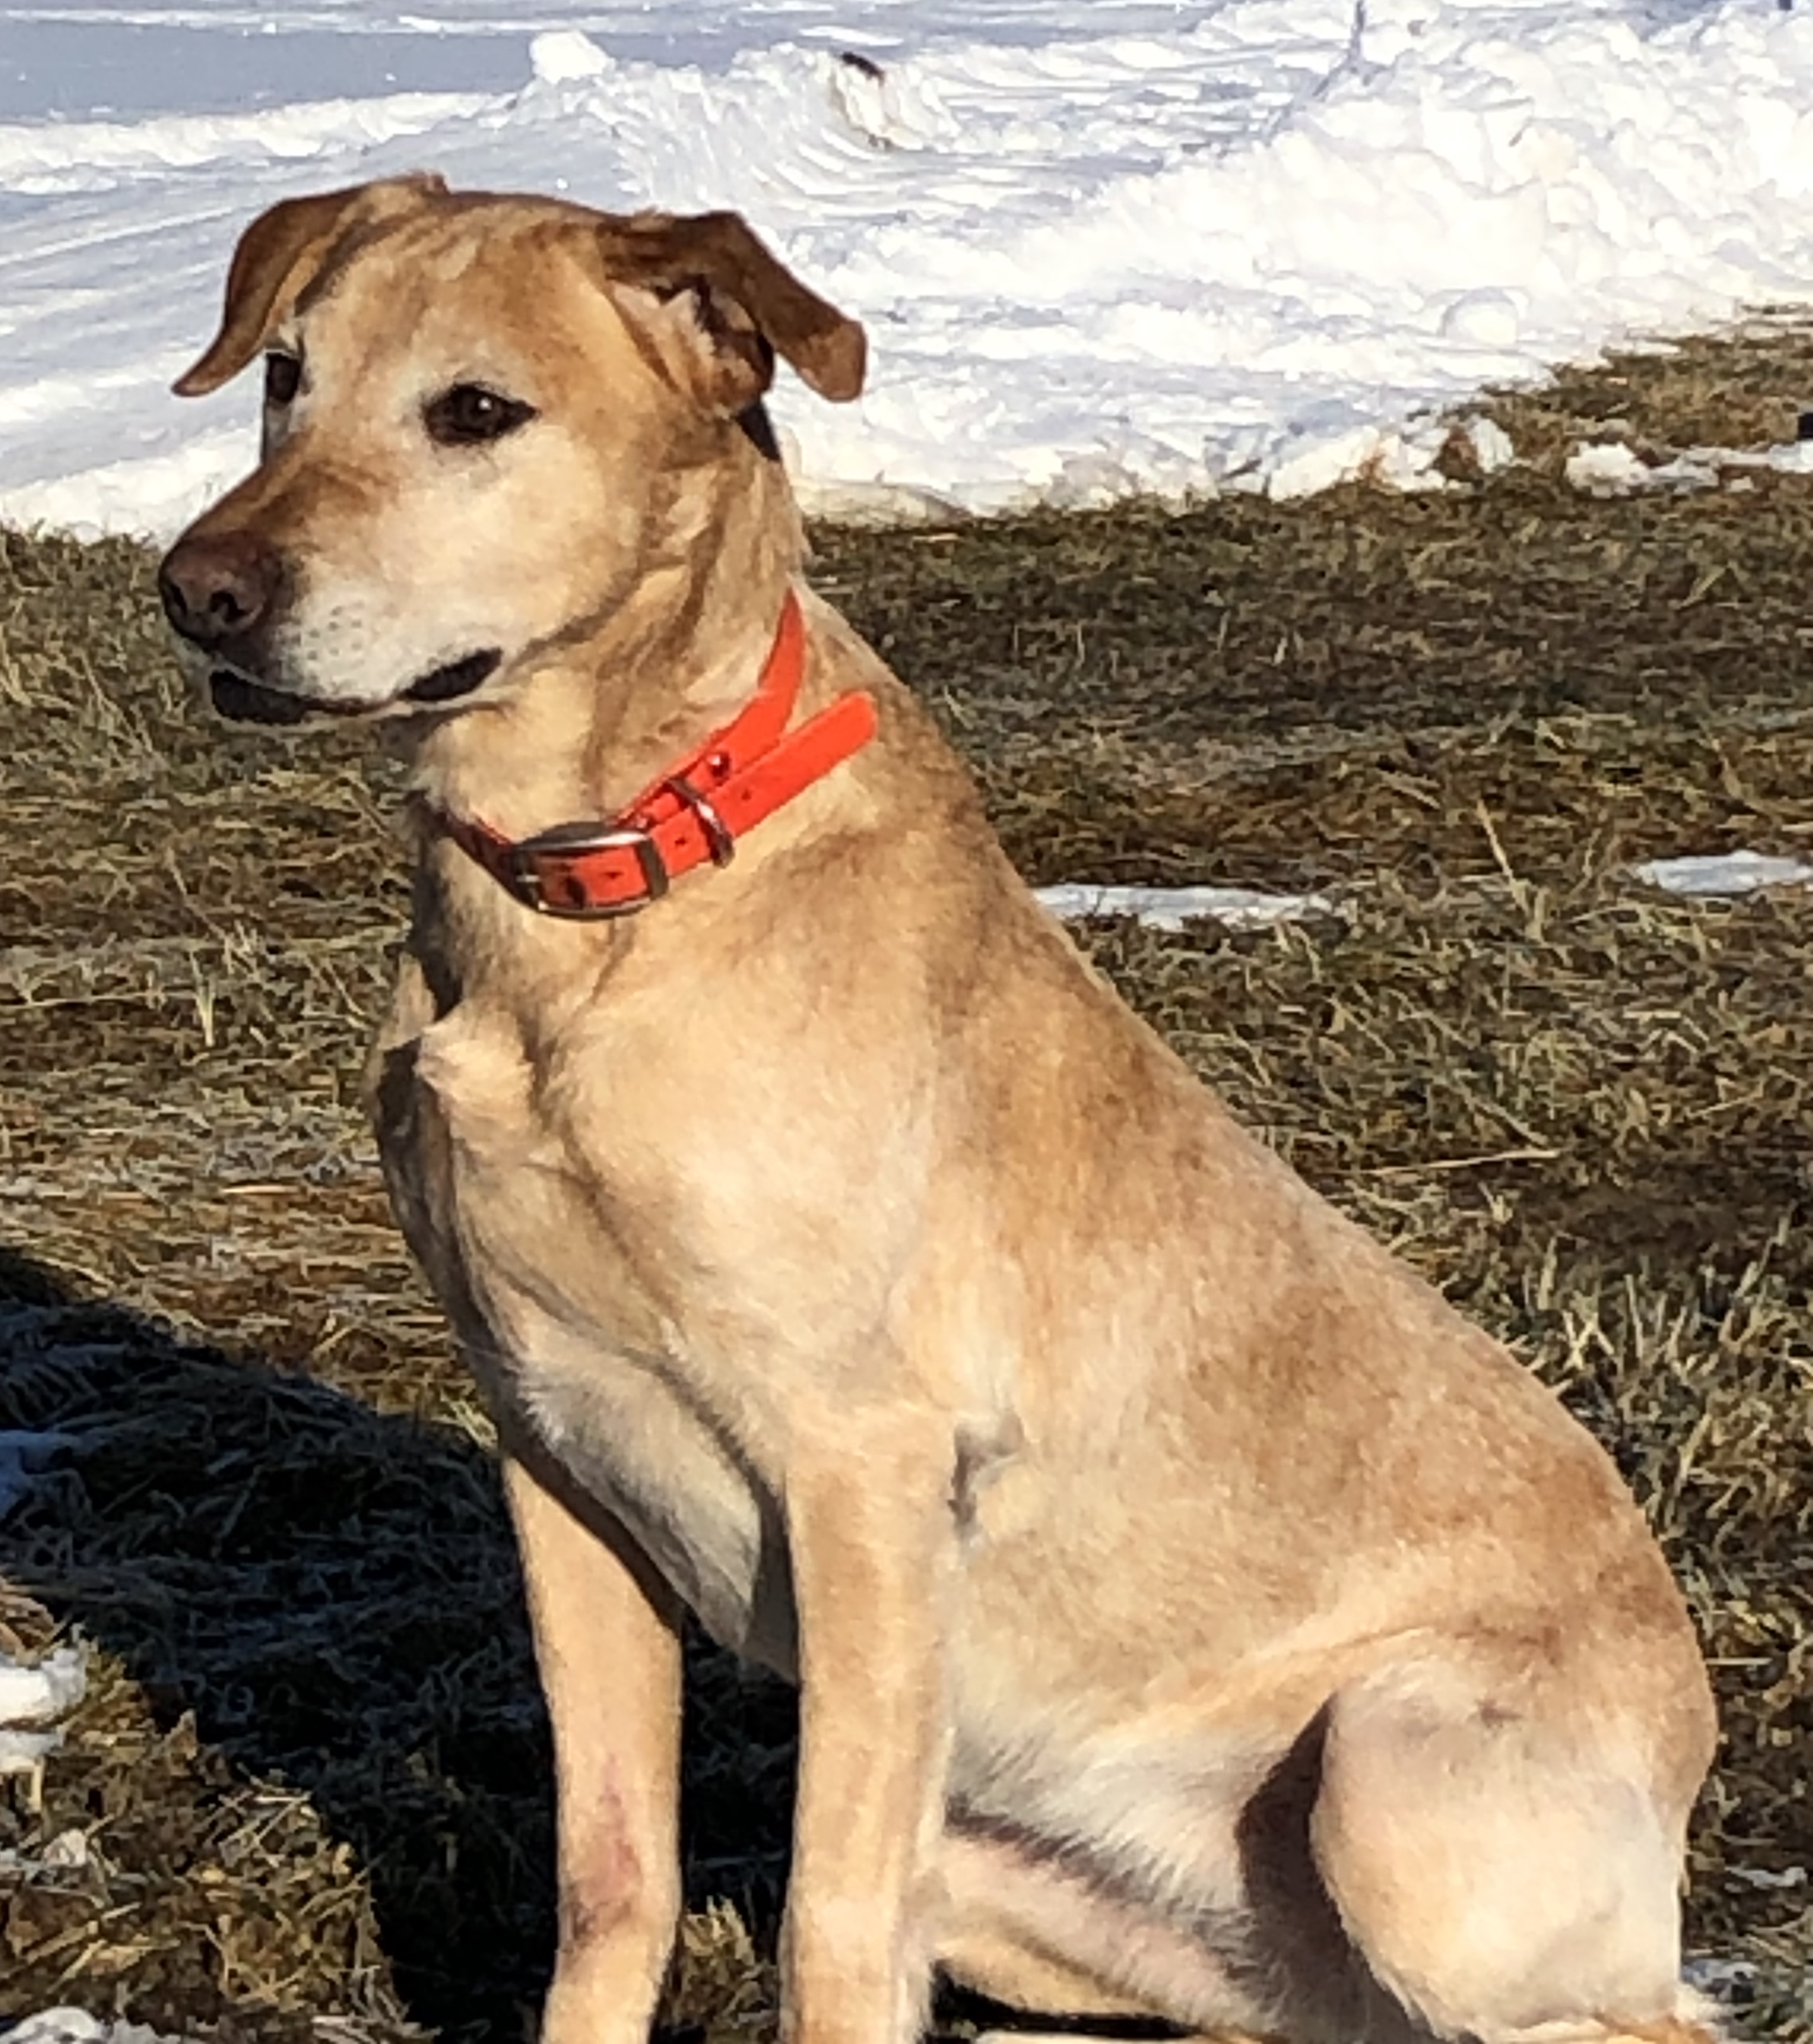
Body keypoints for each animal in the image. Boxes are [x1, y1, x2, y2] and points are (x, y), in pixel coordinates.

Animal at [156, 172, 1717, 2044]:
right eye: (285, 377)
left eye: (474, 410)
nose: (195, 593)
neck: (596, 894)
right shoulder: (555, 1454)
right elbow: (613, 1878)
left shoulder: (868, 1477)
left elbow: (824, 1918)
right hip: (1023, 1887)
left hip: (1391, 1781)